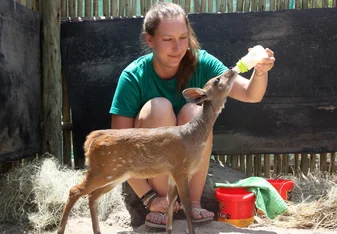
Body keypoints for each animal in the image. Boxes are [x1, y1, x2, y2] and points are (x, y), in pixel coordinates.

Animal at [56, 68, 238, 233]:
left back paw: (97, 231)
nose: (232, 70)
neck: (193, 137)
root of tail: (91, 140)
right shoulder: (181, 169)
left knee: (92, 196)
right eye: (217, 79)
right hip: (102, 170)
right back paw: (61, 230)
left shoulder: (171, 173)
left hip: (115, 174)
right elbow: (185, 205)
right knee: (75, 191)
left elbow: (170, 203)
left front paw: (169, 230)